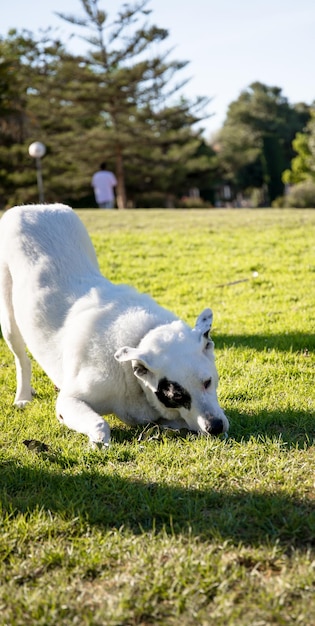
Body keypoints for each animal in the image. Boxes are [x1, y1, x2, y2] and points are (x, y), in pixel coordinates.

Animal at [0, 204, 228, 444]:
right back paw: (23, 396)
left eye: (208, 382)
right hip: (9, 322)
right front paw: (98, 439)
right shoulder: (68, 401)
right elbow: (100, 423)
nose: (215, 427)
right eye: (177, 395)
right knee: (22, 360)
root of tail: (34, 207)